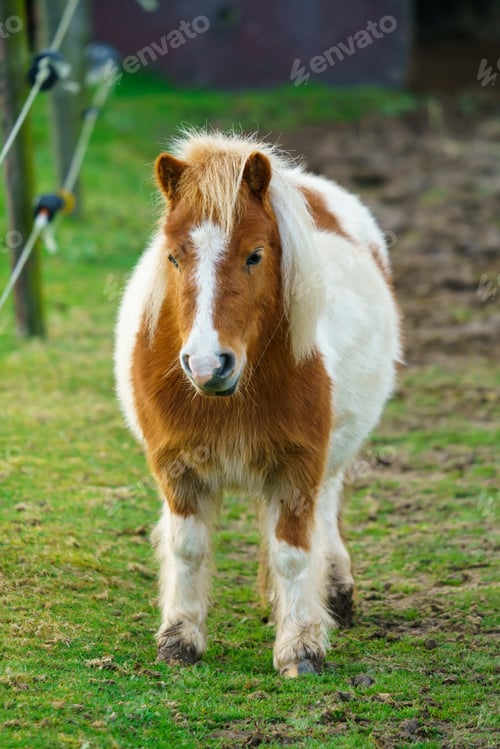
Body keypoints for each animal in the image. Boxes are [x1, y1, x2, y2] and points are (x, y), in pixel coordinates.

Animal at [114, 130, 401, 677]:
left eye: (255, 255)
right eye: (173, 257)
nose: (208, 365)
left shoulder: (298, 466)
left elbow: (294, 553)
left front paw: (300, 648)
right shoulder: (176, 467)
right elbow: (187, 547)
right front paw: (179, 640)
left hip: (330, 457)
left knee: (324, 511)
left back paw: (333, 592)